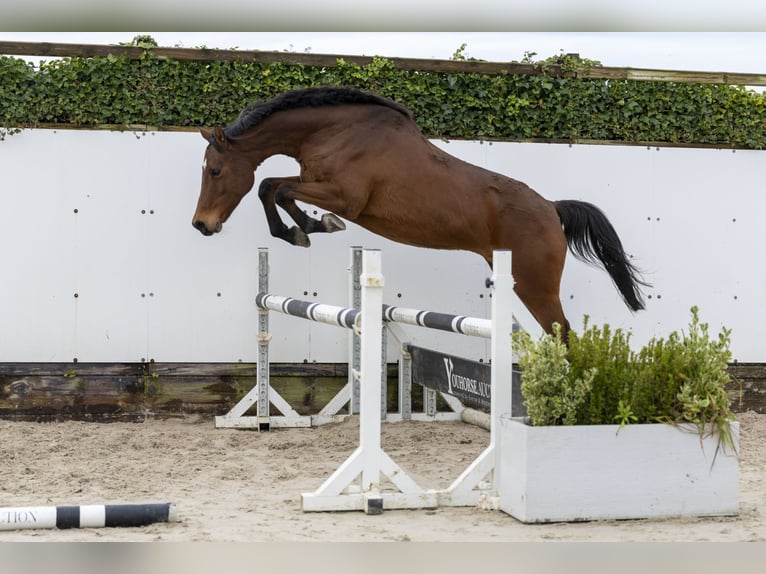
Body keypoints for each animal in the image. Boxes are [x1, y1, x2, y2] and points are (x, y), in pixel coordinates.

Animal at [192, 86, 648, 340]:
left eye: (215, 171)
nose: (201, 225)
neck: (332, 130)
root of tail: (552, 209)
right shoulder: (318, 183)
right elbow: (271, 186)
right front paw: (301, 229)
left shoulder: (345, 197)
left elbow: (278, 188)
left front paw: (309, 226)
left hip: (535, 286)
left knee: (564, 337)